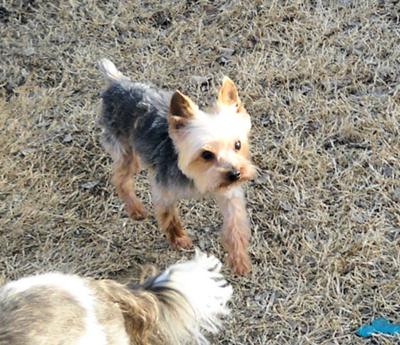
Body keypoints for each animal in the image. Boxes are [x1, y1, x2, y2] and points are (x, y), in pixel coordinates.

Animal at [98, 59, 258, 274]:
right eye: (206, 154)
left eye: (238, 145)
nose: (235, 174)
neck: (197, 180)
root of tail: (117, 83)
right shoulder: (164, 190)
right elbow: (168, 216)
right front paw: (180, 239)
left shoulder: (228, 192)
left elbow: (235, 223)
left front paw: (239, 259)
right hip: (123, 147)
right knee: (121, 178)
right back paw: (136, 209)